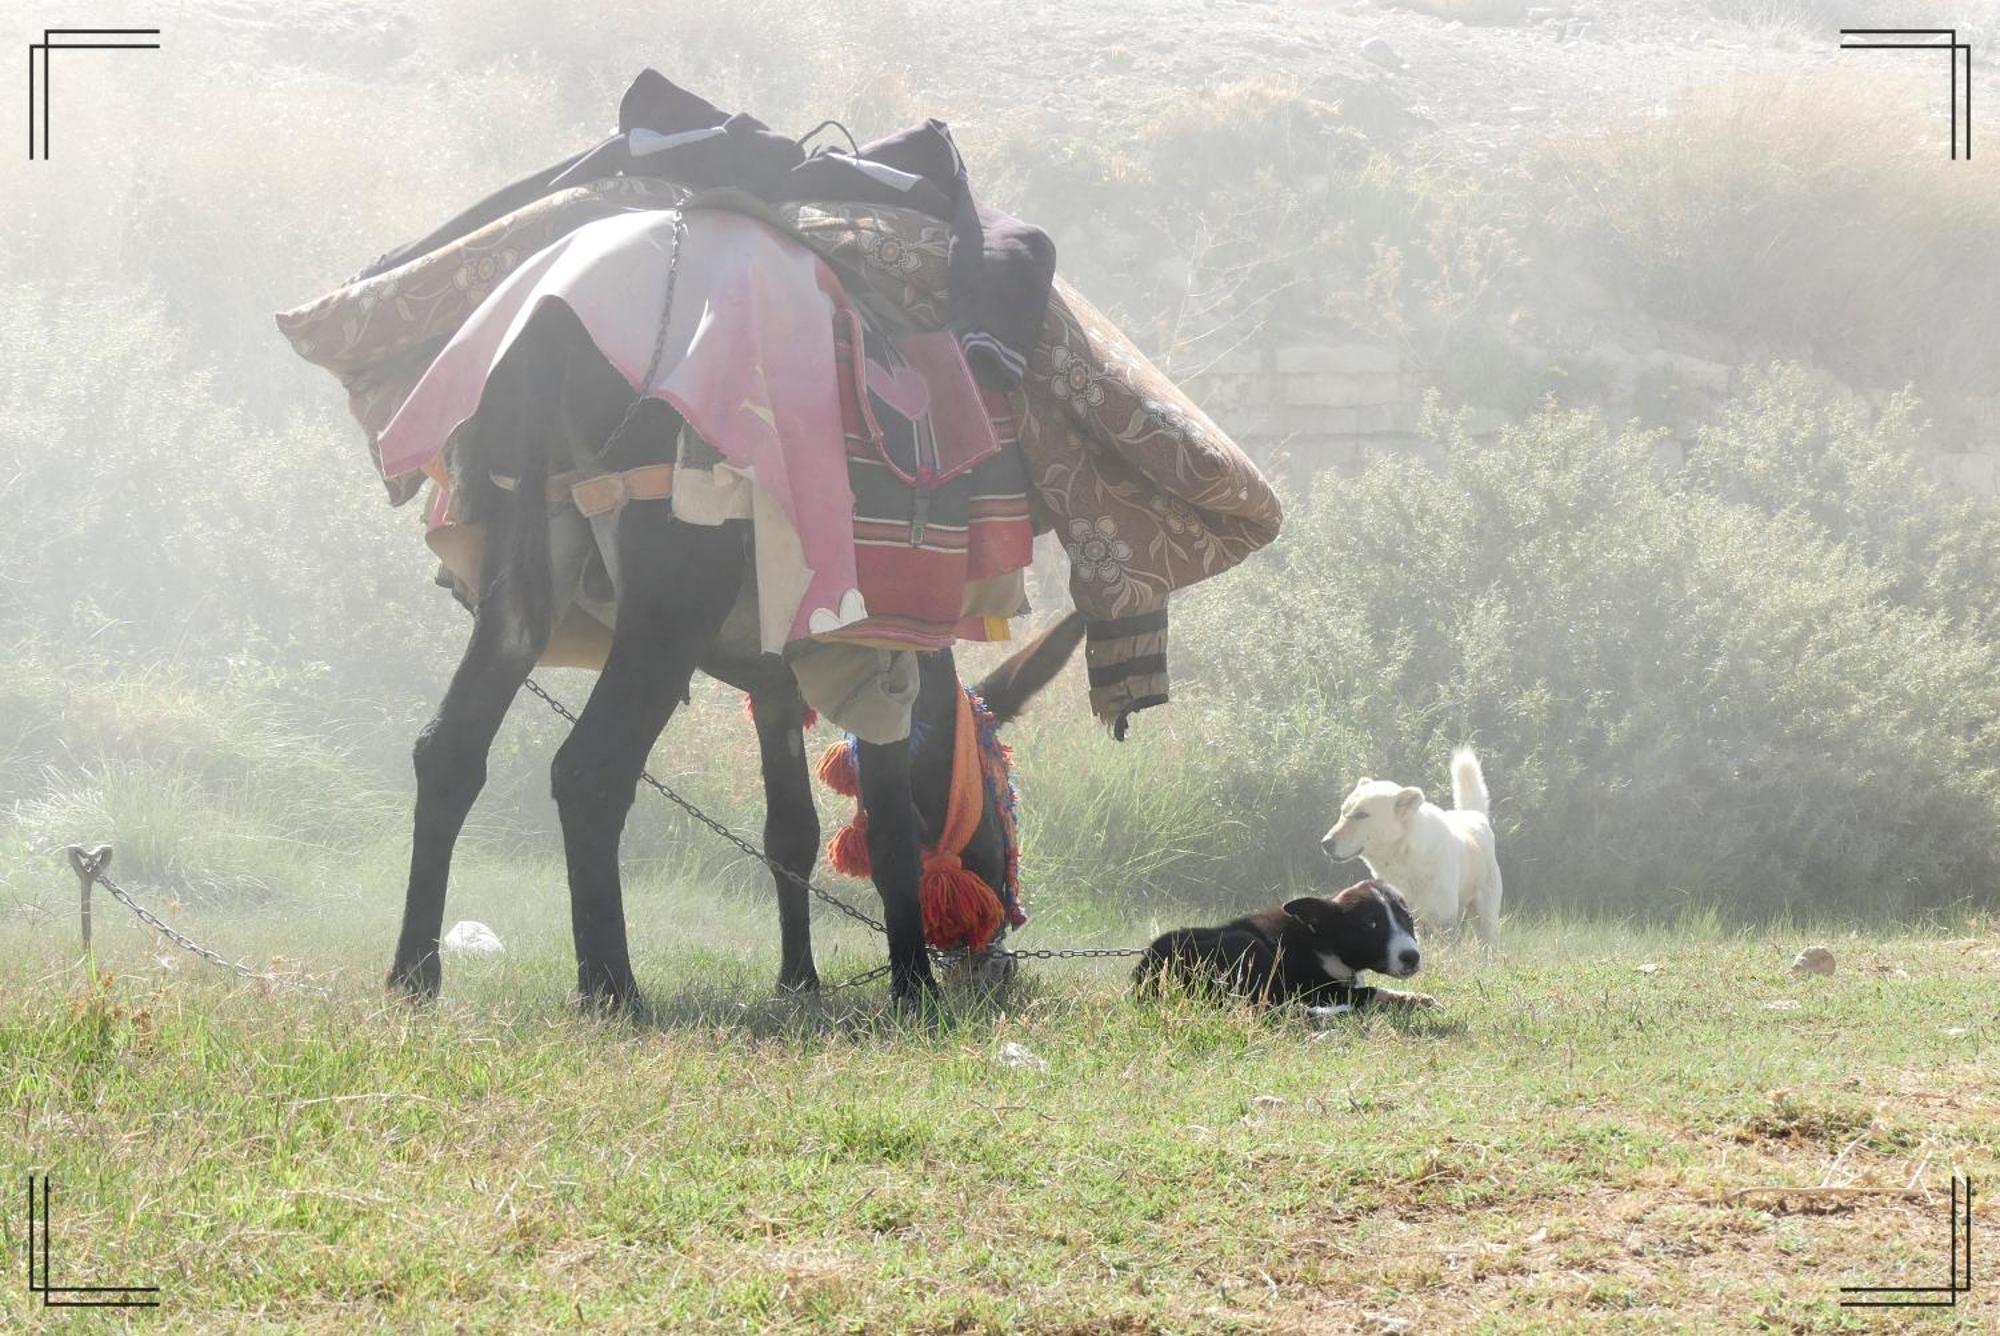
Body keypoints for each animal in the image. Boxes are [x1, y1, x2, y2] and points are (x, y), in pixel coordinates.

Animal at [1128, 880, 1440, 1008]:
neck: (1320, 937)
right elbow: (1369, 991)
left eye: (1407, 918)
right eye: (1370, 925)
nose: (1412, 957)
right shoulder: (1315, 990)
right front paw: (1412, 999)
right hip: (1248, 944)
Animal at [1312, 748, 1504, 944]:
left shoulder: (1443, 920)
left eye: (1362, 815)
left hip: (1485, 918)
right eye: (1343, 812)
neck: (1403, 858)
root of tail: (1475, 815)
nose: (1325, 843)